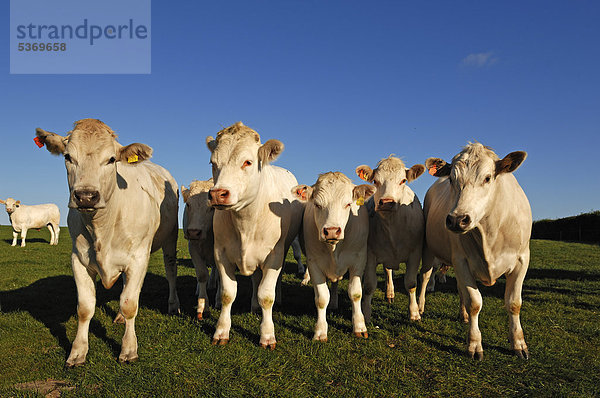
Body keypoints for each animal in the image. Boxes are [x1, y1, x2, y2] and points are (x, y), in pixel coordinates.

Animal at [35, 119, 179, 366]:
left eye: (111, 159)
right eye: (67, 156)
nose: (85, 196)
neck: (102, 226)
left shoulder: (139, 258)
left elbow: (130, 304)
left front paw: (129, 349)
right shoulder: (78, 259)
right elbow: (85, 308)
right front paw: (77, 351)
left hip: (170, 238)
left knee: (170, 272)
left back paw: (173, 305)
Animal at [205, 121, 302, 348]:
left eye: (247, 162)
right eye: (213, 163)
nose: (218, 194)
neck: (245, 223)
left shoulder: (274, 255)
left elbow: (267, 295)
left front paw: (267, 335)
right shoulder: (221, 254)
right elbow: (228, 293)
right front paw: (221, 331)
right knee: (256, 278)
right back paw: (254, 305)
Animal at [292, 172, 372, 342]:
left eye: (348, 204)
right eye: (317, 205)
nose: (332, 231)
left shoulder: (359, 260)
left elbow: (355, 293)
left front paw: (360, 326)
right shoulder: (314, 262)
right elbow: (322, 298)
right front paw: (320, 331)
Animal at [356, 157, 426, 322]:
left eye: (403, 180)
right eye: (375, 181)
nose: (387, 201)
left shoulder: (415, 253)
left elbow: (411, 283)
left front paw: (414, 313)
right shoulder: (370, 254)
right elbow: (369, 286)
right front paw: (366, 313)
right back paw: (390, 293)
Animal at [420, 144, 532, 360]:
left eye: (487, 178)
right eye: (452, 179)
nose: (457, 219)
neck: (490, 233)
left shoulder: (522, 259)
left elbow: (514, 303)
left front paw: (519, 343)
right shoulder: (461, 260)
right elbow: (474, 303)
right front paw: (474, 344)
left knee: (460, 288)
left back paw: (462, 315)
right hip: (429, 249)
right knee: (425, 276)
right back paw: (419, 308)